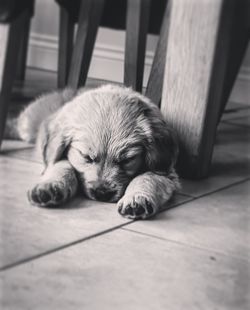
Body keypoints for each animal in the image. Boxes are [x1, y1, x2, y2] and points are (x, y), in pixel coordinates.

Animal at [18, 83, 182, 219]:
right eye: (86, 157)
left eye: (127, 160)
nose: (102, 194)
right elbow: (62, 166)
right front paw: (48, 187)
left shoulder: (165, 170)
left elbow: (147, 178)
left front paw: (136, 198)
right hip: (27, 123)